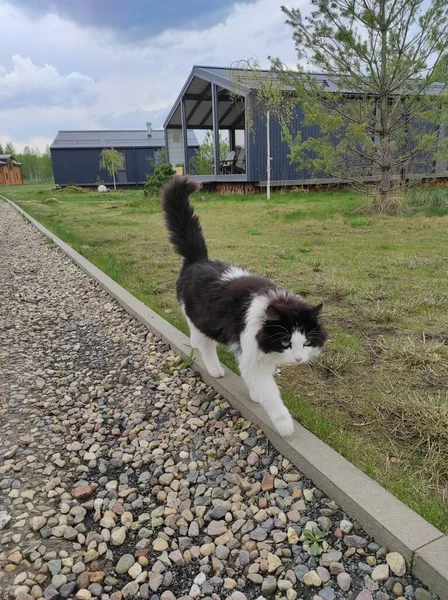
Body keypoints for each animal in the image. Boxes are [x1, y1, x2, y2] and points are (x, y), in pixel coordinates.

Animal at [161, 175, 326, 436]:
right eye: (286, 342)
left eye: (307, 343)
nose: (299, 359)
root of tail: (199, 260)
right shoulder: (251, 355)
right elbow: (271, 394)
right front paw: (285, 425)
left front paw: (255, 394)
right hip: (204, 320)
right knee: (205, 345)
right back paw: (215, 368)